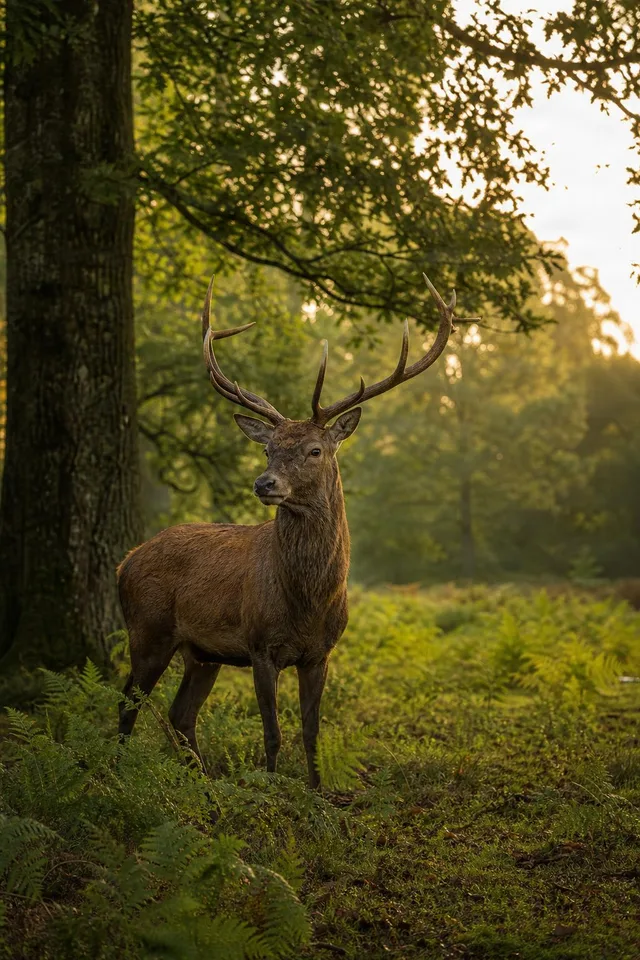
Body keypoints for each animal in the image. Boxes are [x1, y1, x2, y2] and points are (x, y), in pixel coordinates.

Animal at [117, 273, 468, 788]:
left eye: (314, 450)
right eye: (268, 450)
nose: (264, 484)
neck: (307, 601)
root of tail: (124, 562)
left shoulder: (321, 652)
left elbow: (311, 732)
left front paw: (316, 792)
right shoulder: (260, 645)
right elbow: (272, 733)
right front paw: (270, 788)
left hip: (201, 652)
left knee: (181, 715)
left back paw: (202, 783)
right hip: (148, 628)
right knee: (128, 705)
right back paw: (115, 770)